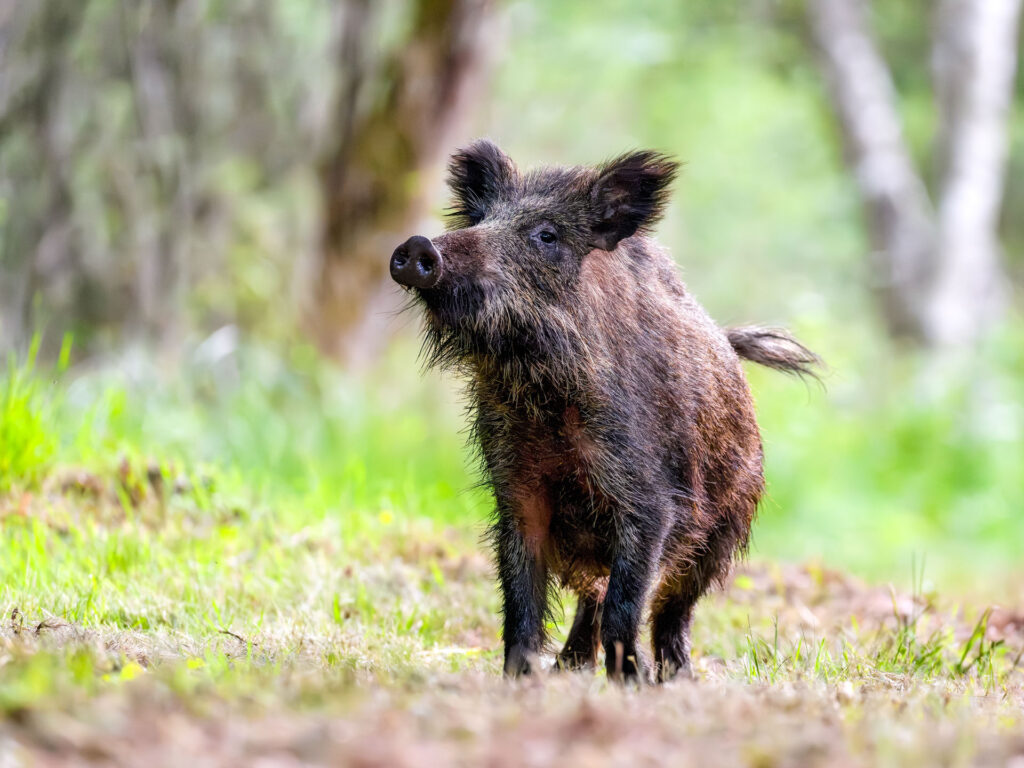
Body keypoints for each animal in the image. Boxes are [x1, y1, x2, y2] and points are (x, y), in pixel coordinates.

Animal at [389, 140, 819, 683]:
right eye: (482, 218)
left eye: (546, 235)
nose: (419, 246)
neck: (544, 400)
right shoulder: (517, 488)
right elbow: (521, 601)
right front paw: (519, 679)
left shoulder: (651, 501)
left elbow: (626, 603)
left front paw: (632, 683)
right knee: (591, 599)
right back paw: (568, 668)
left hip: (726, 525)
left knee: (671, 609)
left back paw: (675, 677)